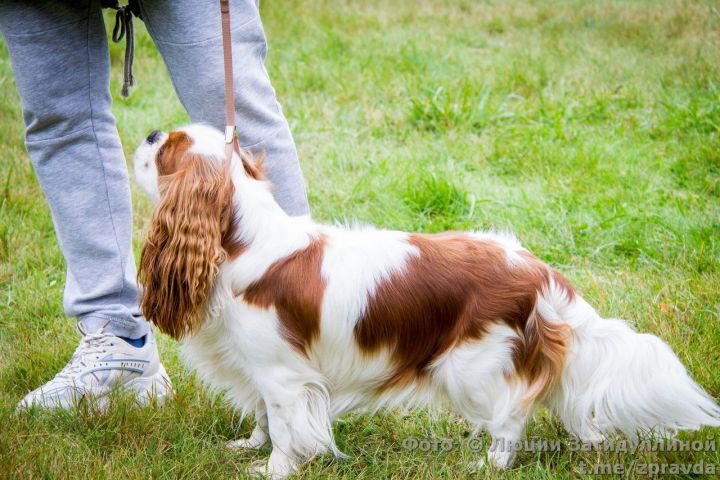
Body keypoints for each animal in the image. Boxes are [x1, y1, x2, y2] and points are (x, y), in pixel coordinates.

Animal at [132, 124, 716, 480]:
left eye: (166, 149)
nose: (149, 131)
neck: (242, 238)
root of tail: (541, 272)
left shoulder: (283, 375)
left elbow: (284, 424)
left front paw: (275, 467)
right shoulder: (256, 365)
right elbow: (260, 414)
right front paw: (249, 446)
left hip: (472, 366)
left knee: (513, 415)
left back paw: (490, 462)